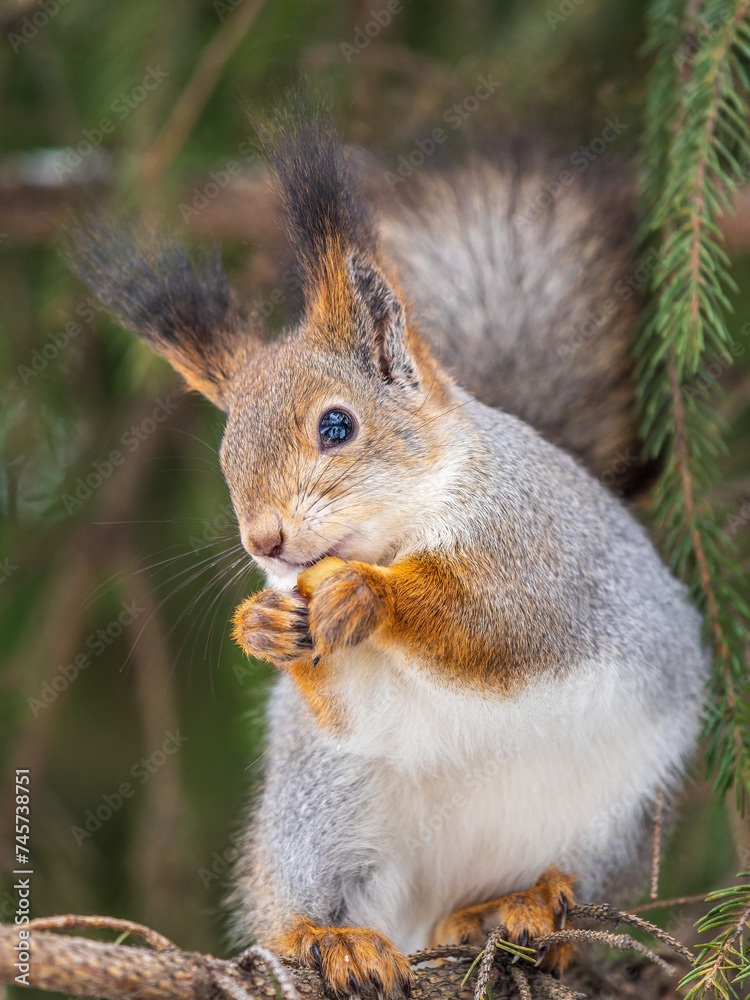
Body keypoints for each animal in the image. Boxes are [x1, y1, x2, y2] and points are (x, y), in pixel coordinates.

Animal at [66, 105, 710, 995]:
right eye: (226, 459)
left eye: (338, 425)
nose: (264, 541)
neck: (404, 529)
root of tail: (438, 906)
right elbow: (357, 706)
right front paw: (263, 627)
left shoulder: (543, 559)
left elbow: (501, 628)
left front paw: (370, 595)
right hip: (326, 813)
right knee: (312, 899)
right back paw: (330, 939)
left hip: (612, 814)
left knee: (559, 881)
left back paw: (525, 908)